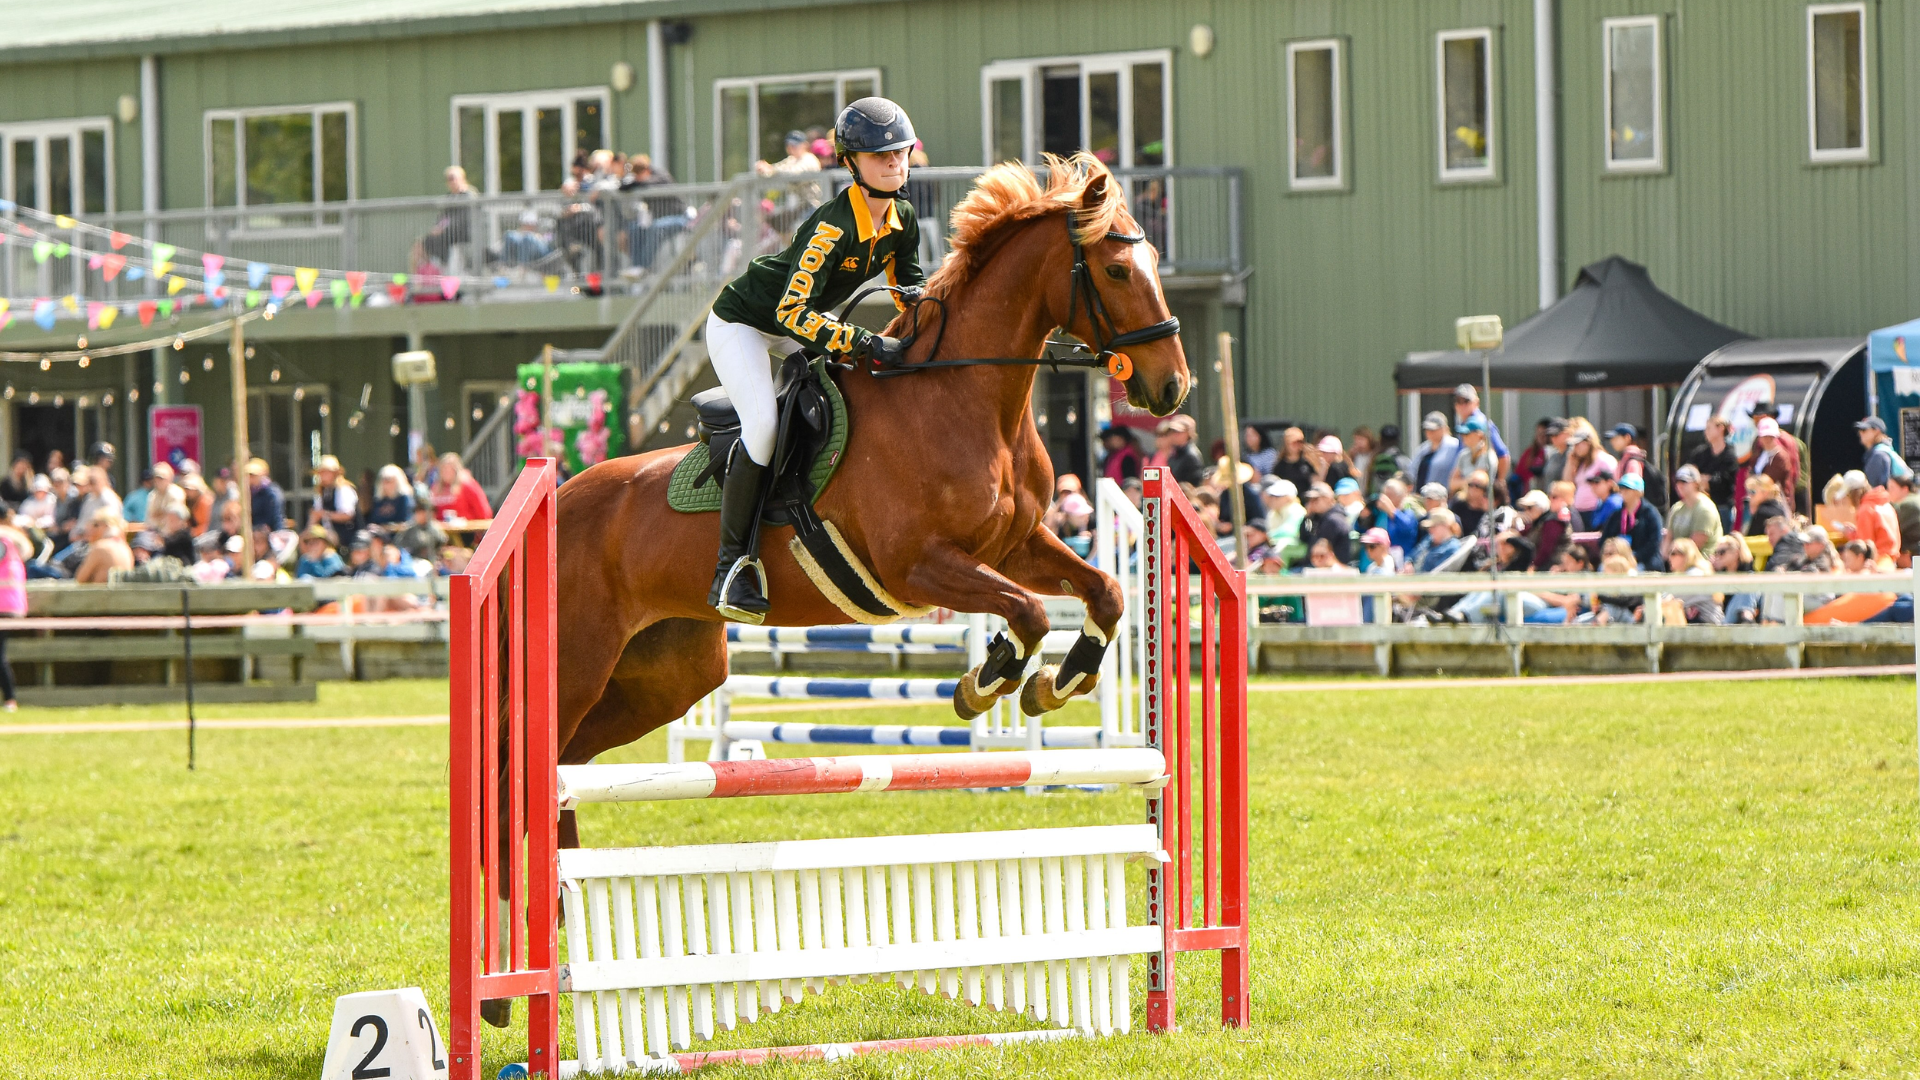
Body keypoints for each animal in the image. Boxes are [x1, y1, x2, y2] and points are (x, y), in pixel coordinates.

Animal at [549, 152, 1189, 847]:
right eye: (1116, 269)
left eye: (1156, 259)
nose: (1173, 386)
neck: (962, 398)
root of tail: (556, 500)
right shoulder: (917, 566)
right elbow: (1029, 613)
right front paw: (986, 681)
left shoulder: (1014, 545)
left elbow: (1106, 591)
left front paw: (1060, 680)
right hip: (578, 662)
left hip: (667, 672)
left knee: (568, 763)